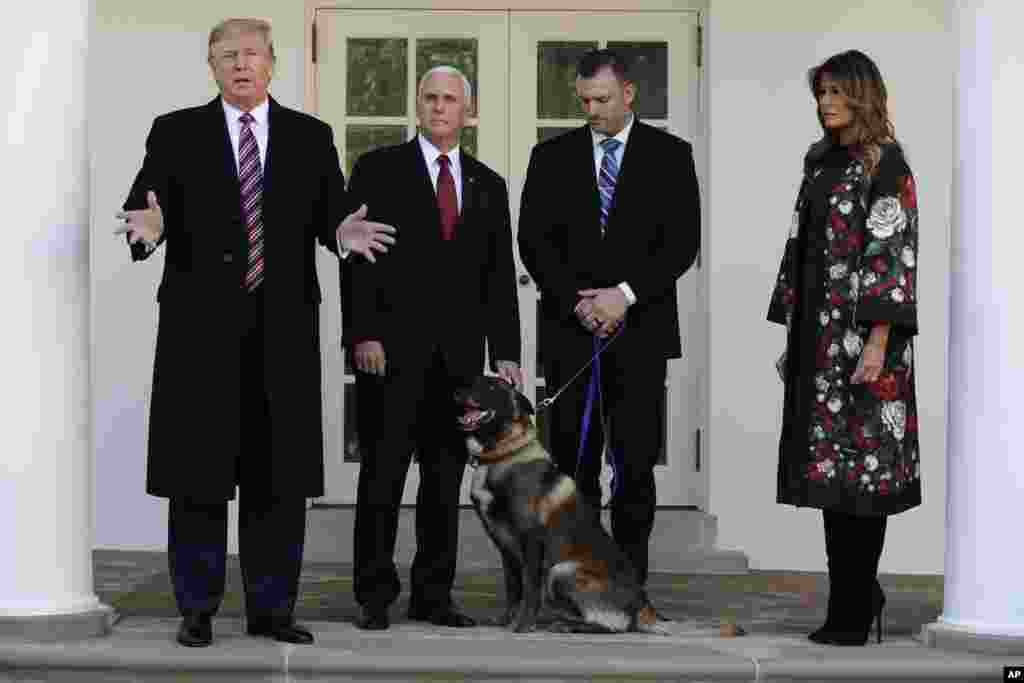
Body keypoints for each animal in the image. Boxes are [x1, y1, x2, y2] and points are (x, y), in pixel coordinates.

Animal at [454, 376, 663, 634]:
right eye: (475, 381)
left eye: (492, 386)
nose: (456, 393)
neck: (503, 453)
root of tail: (642, 604)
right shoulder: (506, 548)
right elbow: (513, 589)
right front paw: (506, 621)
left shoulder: (531, 541)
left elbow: (530, 591)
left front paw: (523, 625)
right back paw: (561, 622)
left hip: (561, 570)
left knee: (614, 625)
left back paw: (566, 625)